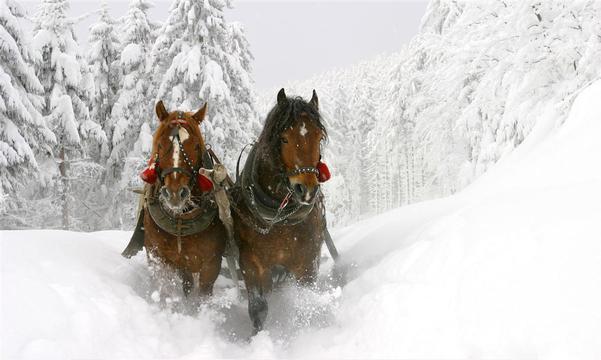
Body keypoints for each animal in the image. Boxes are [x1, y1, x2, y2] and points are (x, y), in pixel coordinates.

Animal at [130, 100, 226, 296]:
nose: (175, 193)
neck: (181, 220)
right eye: (160, 145)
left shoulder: (211, 265)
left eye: (196, 146)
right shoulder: (158, 257)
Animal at [231, 88, 332, 334]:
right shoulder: (251, 263)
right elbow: (258, 308)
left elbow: (305, 302)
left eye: (319, 137)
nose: (307, 189)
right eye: (284, 138)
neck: (279, 219)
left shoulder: (308, 262)